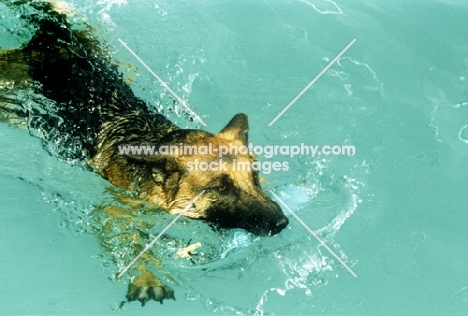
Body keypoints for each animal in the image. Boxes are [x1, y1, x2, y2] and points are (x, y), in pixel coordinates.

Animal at [0, 0, 288, 306]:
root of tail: (55, 38)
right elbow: (134, 244)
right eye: (221, 187)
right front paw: (147, 278)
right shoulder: (116, 212)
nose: (282, 222)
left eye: (254, 178)